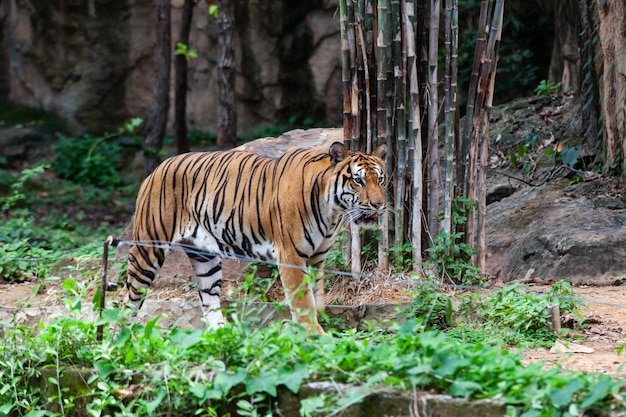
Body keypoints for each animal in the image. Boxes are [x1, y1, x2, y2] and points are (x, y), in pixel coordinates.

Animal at [123, 141, 386, 334]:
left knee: (209, 301)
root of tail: (157, 168)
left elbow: (317, 297)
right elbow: (302, 301)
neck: (332, 210)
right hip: (148, 248)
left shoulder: (316, 258)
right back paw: (123, 339)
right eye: (358, 180)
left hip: (205, 257)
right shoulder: (291, 255)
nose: (379, 204)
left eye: (380, 179)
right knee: (128, 300)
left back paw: (224, 335)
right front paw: (316, 336)